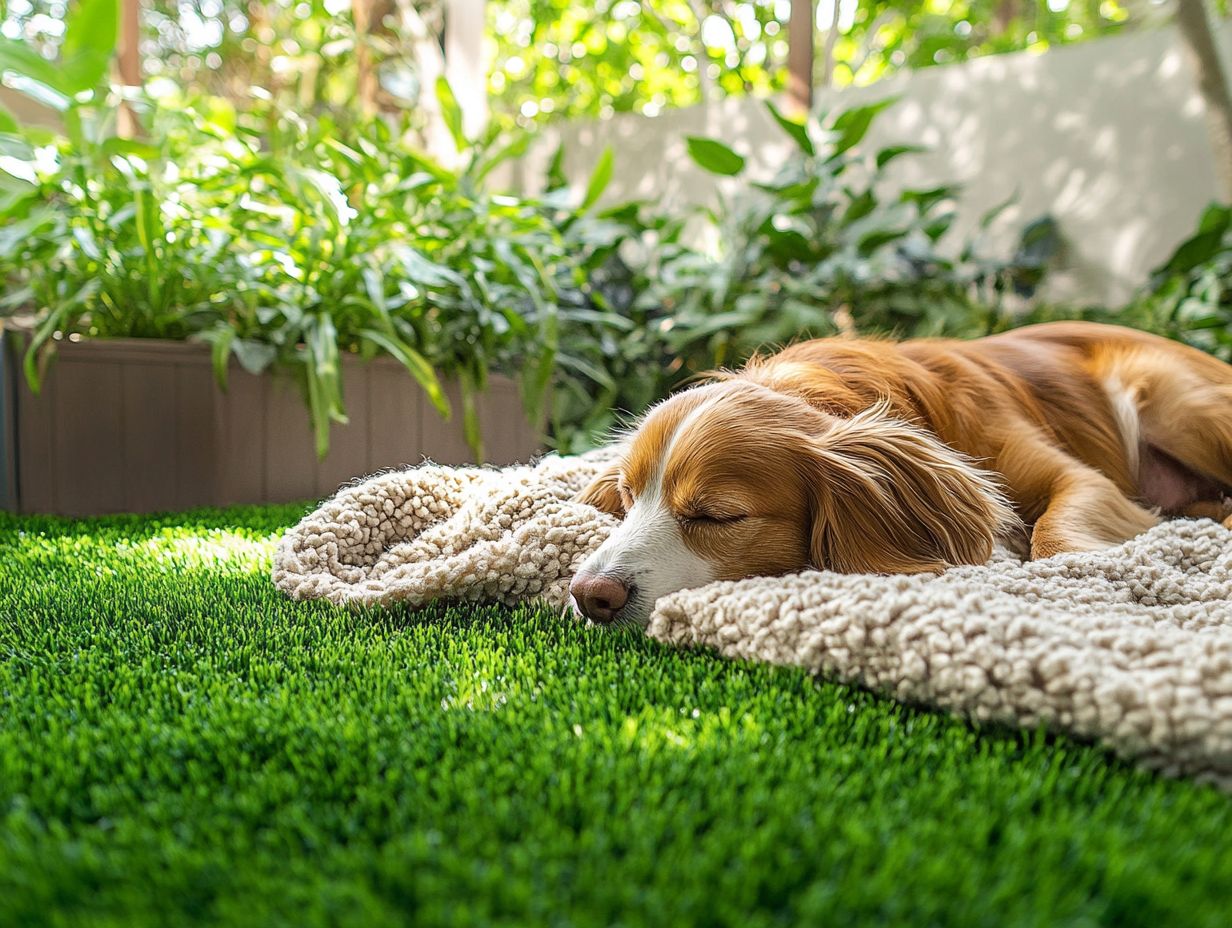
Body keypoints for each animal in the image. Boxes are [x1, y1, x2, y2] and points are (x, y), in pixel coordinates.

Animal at [569, 322, 1232, 626]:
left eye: (716, 516)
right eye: (628, 497)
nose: (589, 595)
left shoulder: (1087, 483)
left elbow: (1055, 539)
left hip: (1180, 406)